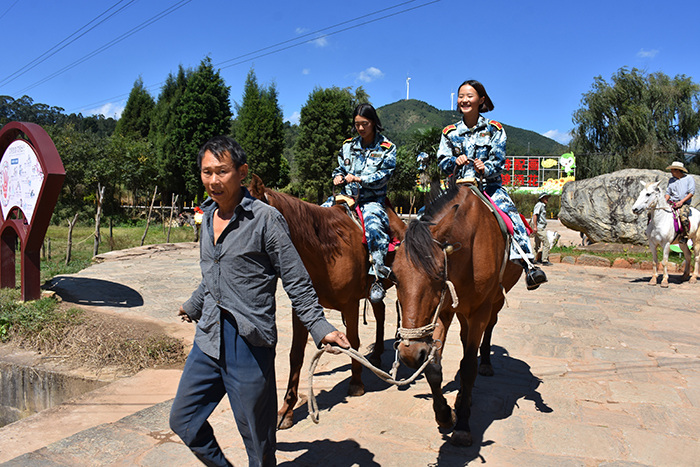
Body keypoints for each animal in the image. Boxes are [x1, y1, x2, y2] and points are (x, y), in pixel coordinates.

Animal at [248, 174, 407, 429]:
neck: (325, 251)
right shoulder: (301, 308)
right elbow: (296, 354)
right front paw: (286, 410)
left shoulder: (350, 305)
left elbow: (353, 342)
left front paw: (356, 384)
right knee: (380, 312)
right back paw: (376, 354)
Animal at [391, 179, 522, 446]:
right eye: (394, 277)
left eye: (438, 276)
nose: (409, 354)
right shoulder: (442, 311)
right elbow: (433, 366)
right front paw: (444, 415)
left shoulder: (480, 310)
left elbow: (469, 367)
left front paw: (462, 425)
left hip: (493, 304)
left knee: (488, 331)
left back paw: (485, 366)